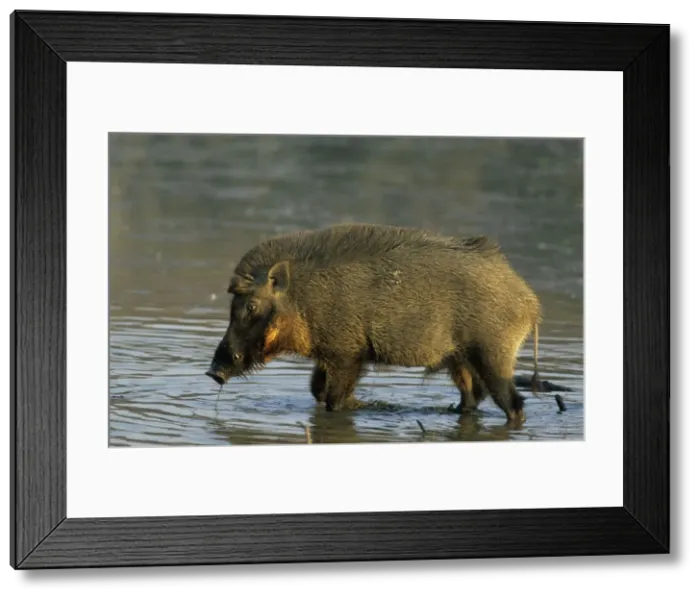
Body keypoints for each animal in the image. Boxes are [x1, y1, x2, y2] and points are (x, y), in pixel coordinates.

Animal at [205, 223, 541, 423]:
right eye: (232, 305)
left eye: (251, 305)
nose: (213, 371)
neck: (303, 298)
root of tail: (530, 302)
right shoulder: (330, 353)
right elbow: (317, 391)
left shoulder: (347, 353)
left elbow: (333, 399)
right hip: (459, 360)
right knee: (473, 397)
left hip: (492, 354)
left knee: (513, 402)